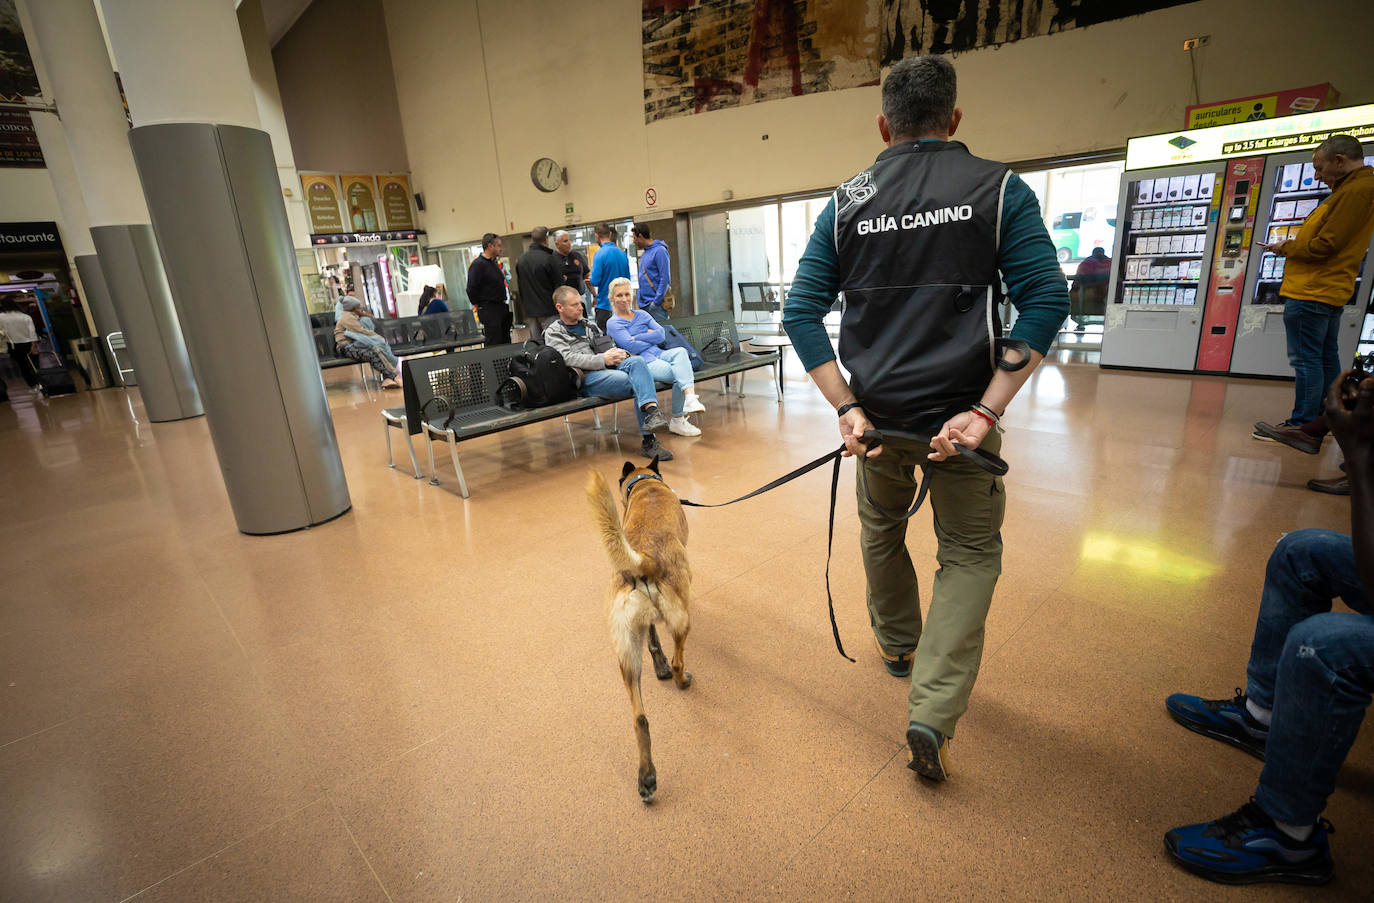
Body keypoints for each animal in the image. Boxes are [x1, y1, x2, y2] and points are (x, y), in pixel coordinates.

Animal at [585, 459, 692, 802]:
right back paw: (682, 680)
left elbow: (654, 640)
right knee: (678, 661)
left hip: (626, 655)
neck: (646, 484)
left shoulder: (645, 627)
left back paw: (646, 778)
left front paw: (657, 663)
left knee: (640, 719)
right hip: (682, 619)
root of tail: (643, 561)